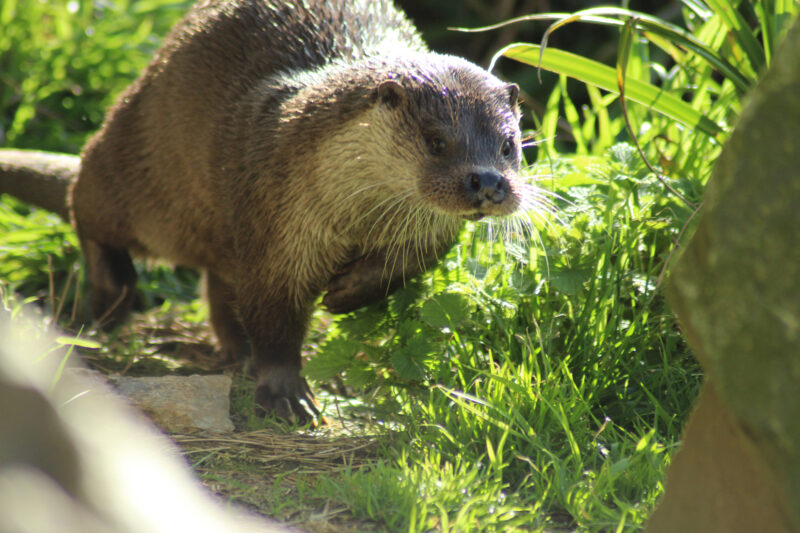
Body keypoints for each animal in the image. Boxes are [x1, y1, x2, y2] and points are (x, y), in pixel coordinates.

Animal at [3, 1, 528, 424]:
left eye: (509, 145)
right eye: (437, 142)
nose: (488, 182)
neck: (353, 216)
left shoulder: (427, 233)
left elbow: (405, 268)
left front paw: (346, 292)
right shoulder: (279, 221)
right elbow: (274, 310)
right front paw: (285, 393)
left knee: (221, 281)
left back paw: (237, 351)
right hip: (141, 170)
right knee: (87, 203)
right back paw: (113, 297)